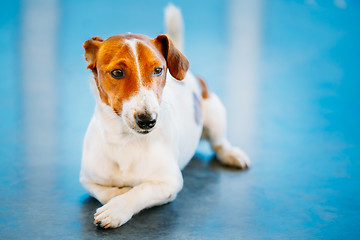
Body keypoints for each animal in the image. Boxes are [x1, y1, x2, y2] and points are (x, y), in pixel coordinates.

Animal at [80, 4, 250, 229]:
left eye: (158, 70)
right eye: (117, 72)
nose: (148, 120)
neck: (126, 141)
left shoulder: (169, 182)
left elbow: (141, 190)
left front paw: (117, 208)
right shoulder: (88, 180)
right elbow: (106, 192)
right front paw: (118, 194)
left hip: (215, 116)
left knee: (220, 144)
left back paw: (231, 154)